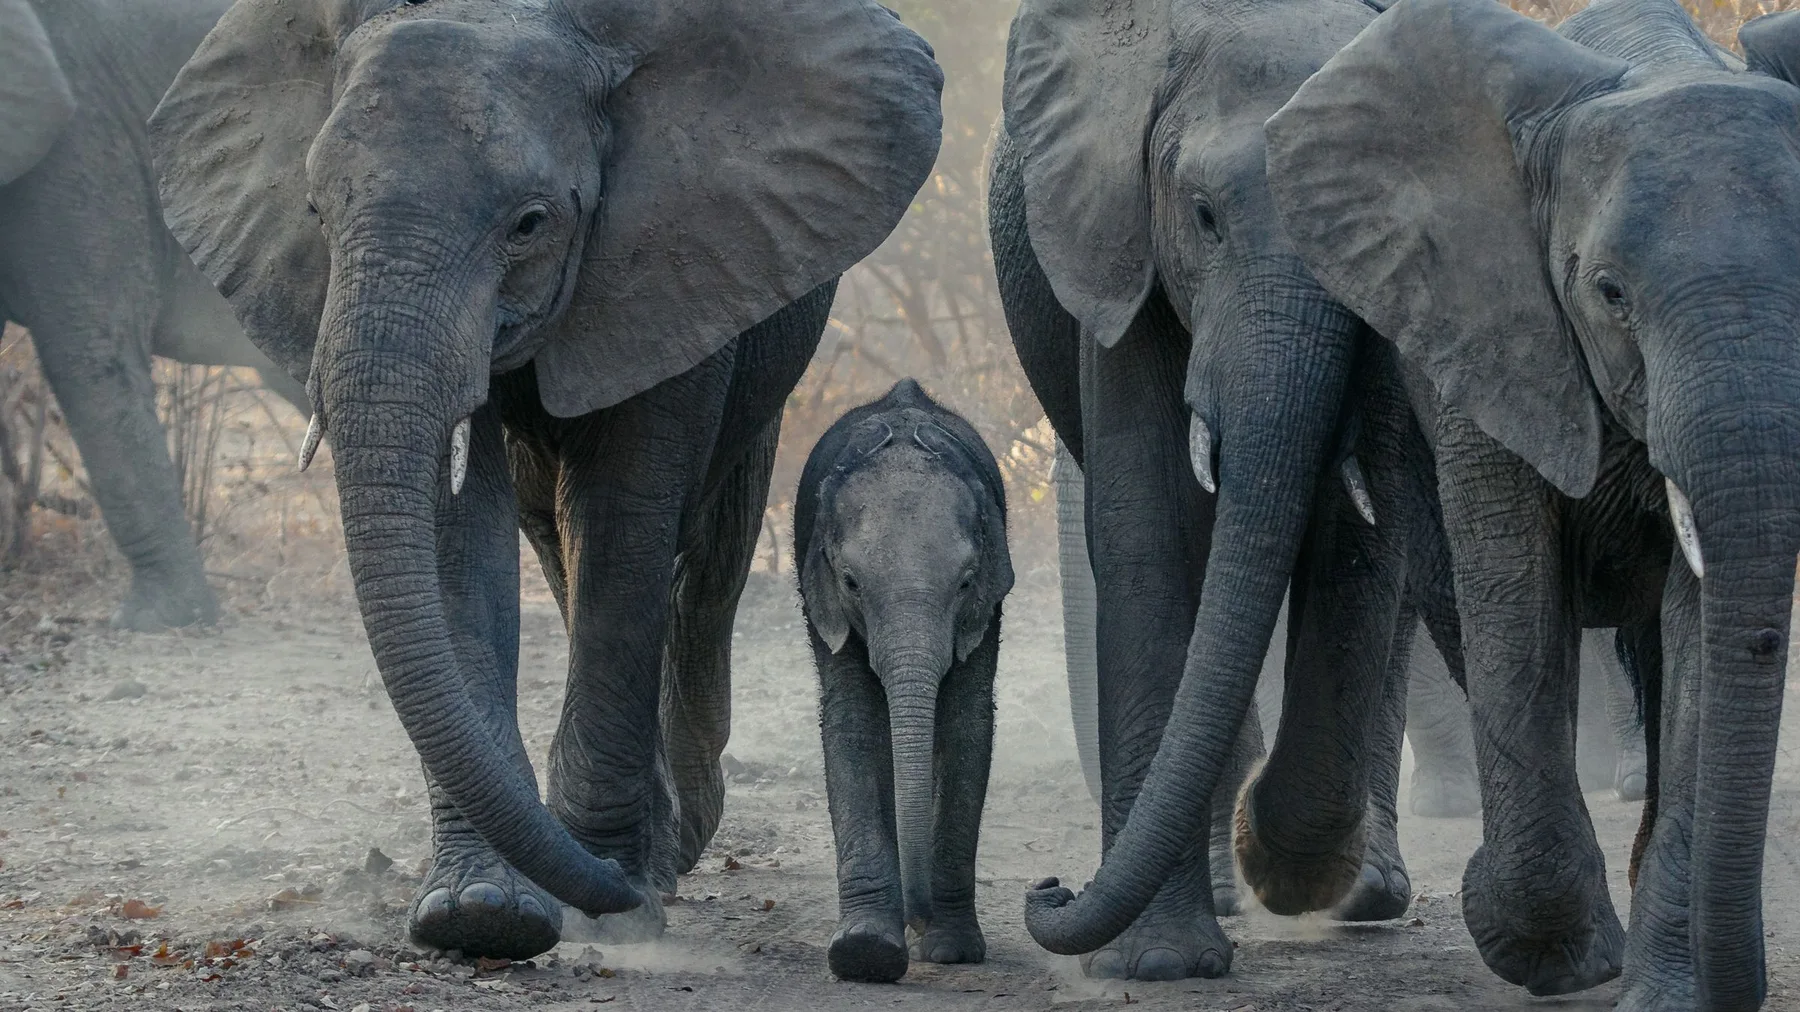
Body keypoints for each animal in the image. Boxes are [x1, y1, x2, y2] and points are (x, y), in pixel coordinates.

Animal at [148, 0, 941, 960]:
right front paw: (479, 914)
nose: (601, 887)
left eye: (528, 223)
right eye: (314, 211)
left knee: (703, 561)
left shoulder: (678, 253)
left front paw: (616, 904)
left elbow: (625, 524)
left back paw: (673, 846)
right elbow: (461, 538)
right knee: (557, 541)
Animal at [798, 379, 1013, 983]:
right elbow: (851, 724)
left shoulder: (987, 605)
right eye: (851, 582)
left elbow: (966, 725)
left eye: (965, 583)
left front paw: (952, 950)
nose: (918, 918)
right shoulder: (825, 601)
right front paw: (865, 952)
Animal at [992, 0, 1458, 981]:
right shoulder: (1123, 244)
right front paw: (1159, 964)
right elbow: (1151, 526)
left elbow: (1362, 540)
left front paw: (1286, 865)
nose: (1048, 888)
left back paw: (1360, 893)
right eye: (1204, 216)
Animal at [1267, 0, 1800, 1004]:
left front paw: (1667, 991)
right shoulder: (1489, 331)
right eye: (1610, 292)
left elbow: (1697, 637)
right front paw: (1554, 955)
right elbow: (1516, 601)